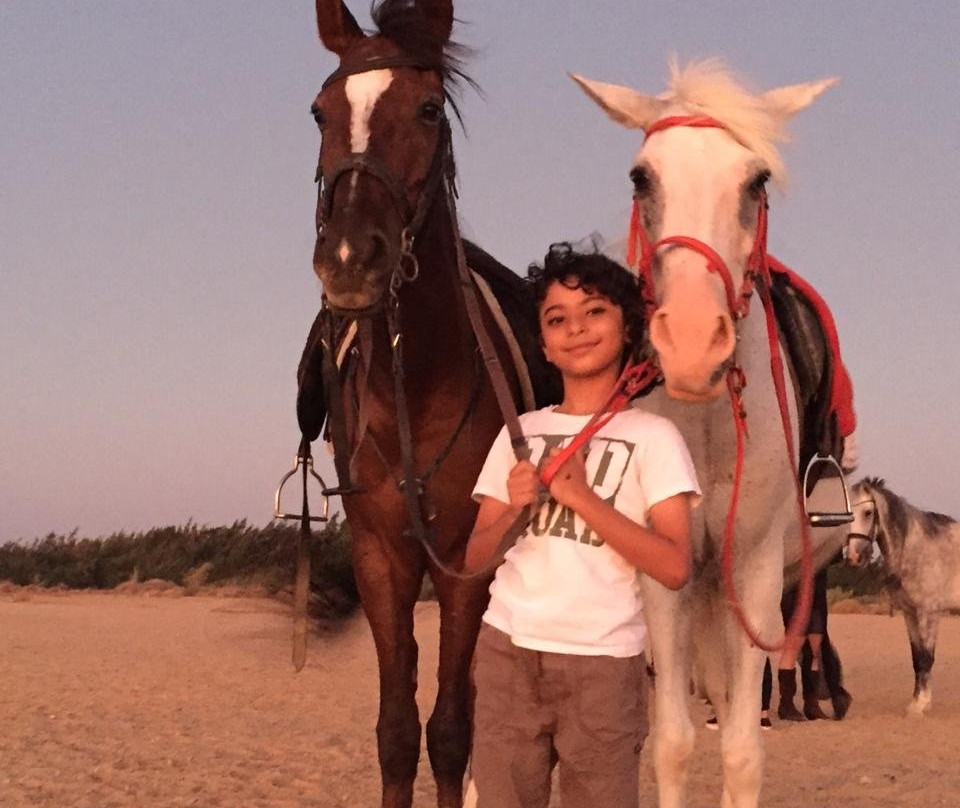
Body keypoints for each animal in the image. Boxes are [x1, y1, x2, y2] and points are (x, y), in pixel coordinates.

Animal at [303, 2, 557, 807]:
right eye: (320, 112)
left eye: (426, 109)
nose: (349, 260)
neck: (414, 385)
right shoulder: (380, 558)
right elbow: (395, 732)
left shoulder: (463, 564)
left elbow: (448, 732)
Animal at [571, 60, 854, 808]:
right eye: (641, 177)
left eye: (756, 182)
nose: (694, 344)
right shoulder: (665, 579)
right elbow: (671, 743)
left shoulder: (752, 575)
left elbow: (742, 750)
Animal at [846, 477, 960, 716]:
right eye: (849, 514)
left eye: (868, 512)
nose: (853, 556)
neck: (918, 549)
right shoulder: (910, 613)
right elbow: (916, 659)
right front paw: (914, 702)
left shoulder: (929, 613)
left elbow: (927, 657)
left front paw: (921, 705)